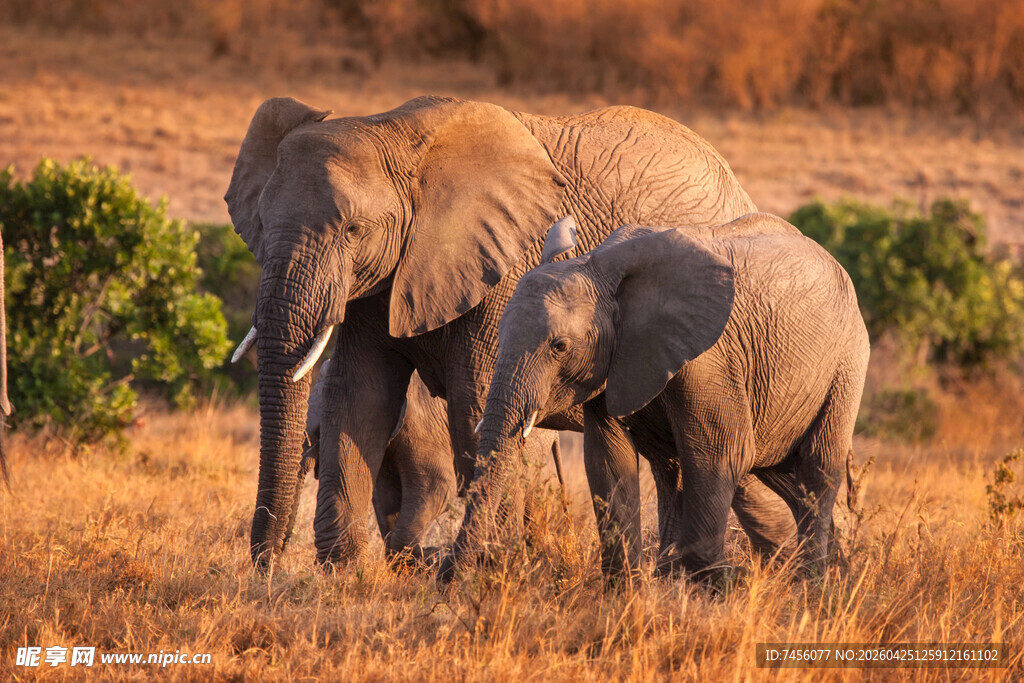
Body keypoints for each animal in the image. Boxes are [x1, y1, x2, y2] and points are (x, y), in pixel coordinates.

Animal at [465, 213, 869, 580]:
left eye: (559, 346)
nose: (458, 571)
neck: (597, 267)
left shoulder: (711, 360)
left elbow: (721, 453)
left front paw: (713, 588)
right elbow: (608, 460)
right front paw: (627, 592)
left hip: (847, 362)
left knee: (817, 469)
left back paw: (813, 585)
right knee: (772, 476)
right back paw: (835, 575)